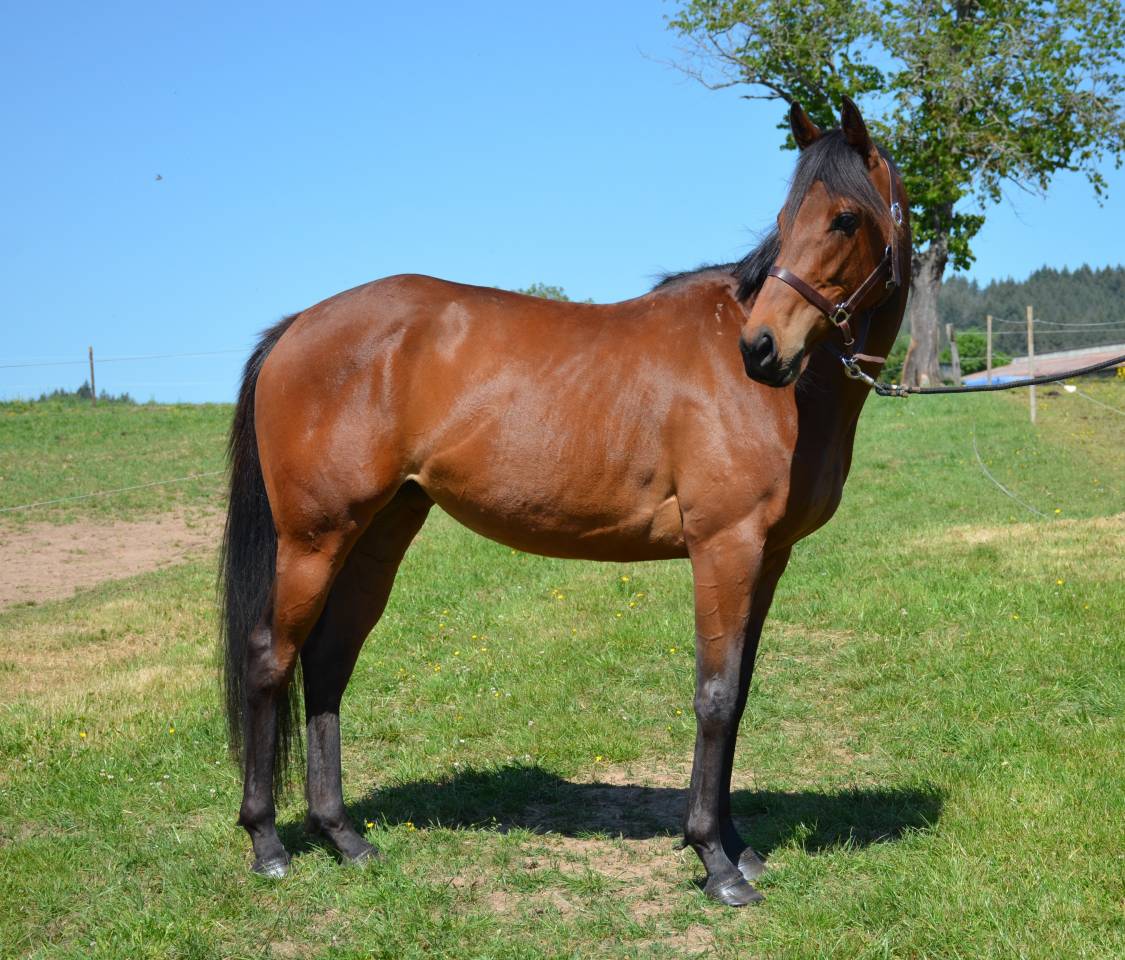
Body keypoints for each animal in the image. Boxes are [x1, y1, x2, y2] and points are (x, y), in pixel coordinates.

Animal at [220, 97, 910, 907]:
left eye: (842, 219)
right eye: (787, 215)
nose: (761, 348)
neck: (785, 398)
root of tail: (296, 326)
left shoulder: (766, 560)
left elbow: (737, 695)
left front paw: (740, 848)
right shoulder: (724, 548)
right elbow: (713, 696)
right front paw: (714, 860)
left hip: (380, 532)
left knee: (328, 663)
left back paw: (343, 837)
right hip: (313, 538)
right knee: (271, 659)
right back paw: (267, 843)